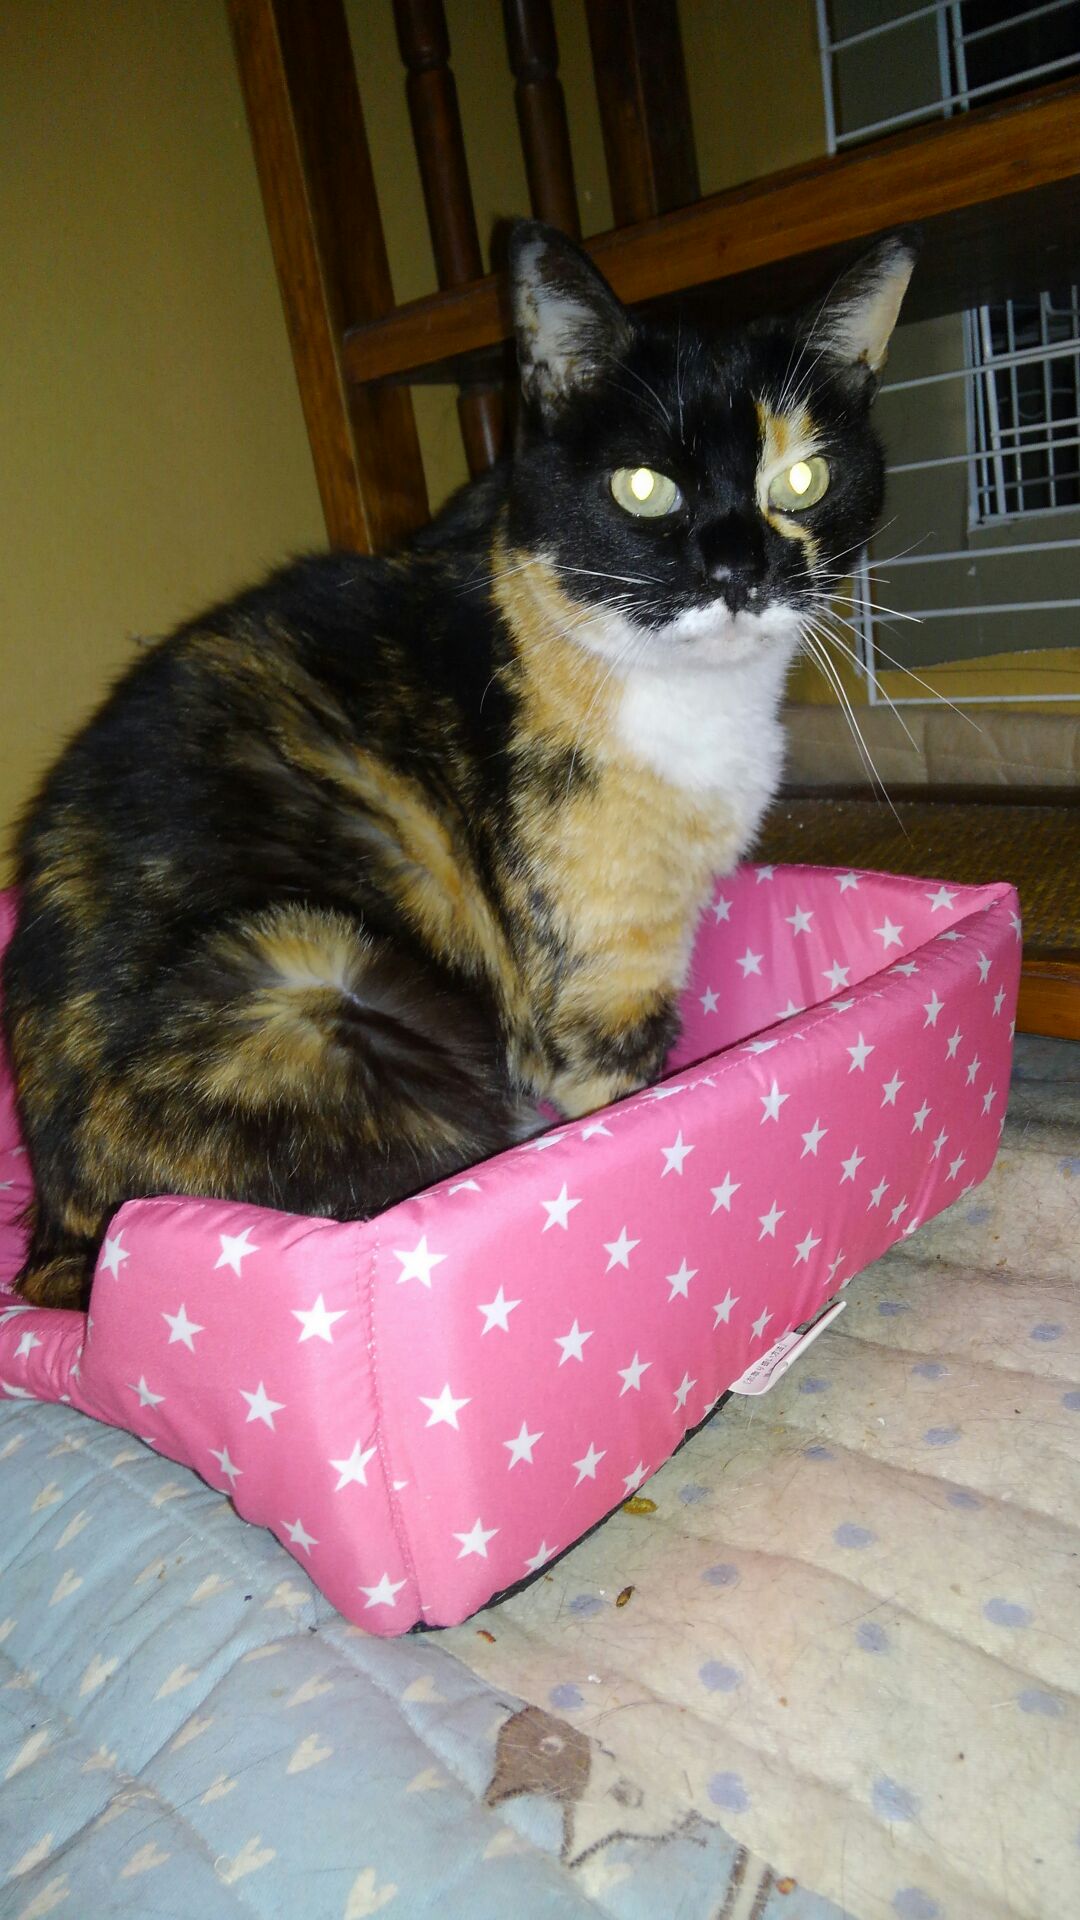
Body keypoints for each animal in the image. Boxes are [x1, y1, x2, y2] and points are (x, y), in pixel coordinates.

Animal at [2, 221, 915, 1310]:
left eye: (802, 479)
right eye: (644, 486)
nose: (738, 571)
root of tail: (59, 1243)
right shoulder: (598, 980)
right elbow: (631, 1110)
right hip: (309, 979)